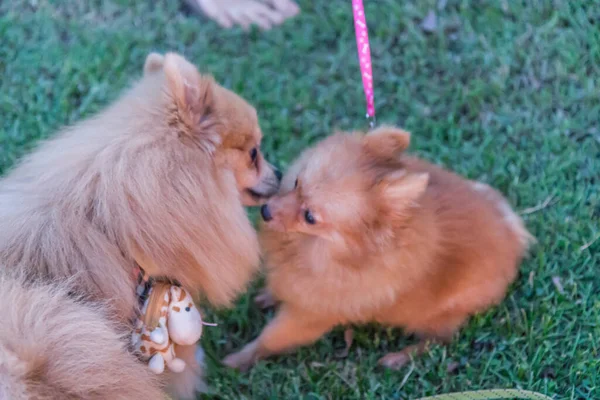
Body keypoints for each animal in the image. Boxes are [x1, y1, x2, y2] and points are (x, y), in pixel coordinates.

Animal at [223, 126, 532, 370]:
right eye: (297, 182)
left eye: (310, 216)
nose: (265, 211)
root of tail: (513, 234)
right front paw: (269, 295)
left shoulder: (310, 316)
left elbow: (271, 339)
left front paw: (237, 360)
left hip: (442, 312)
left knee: (439, 339)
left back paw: (399, 357)